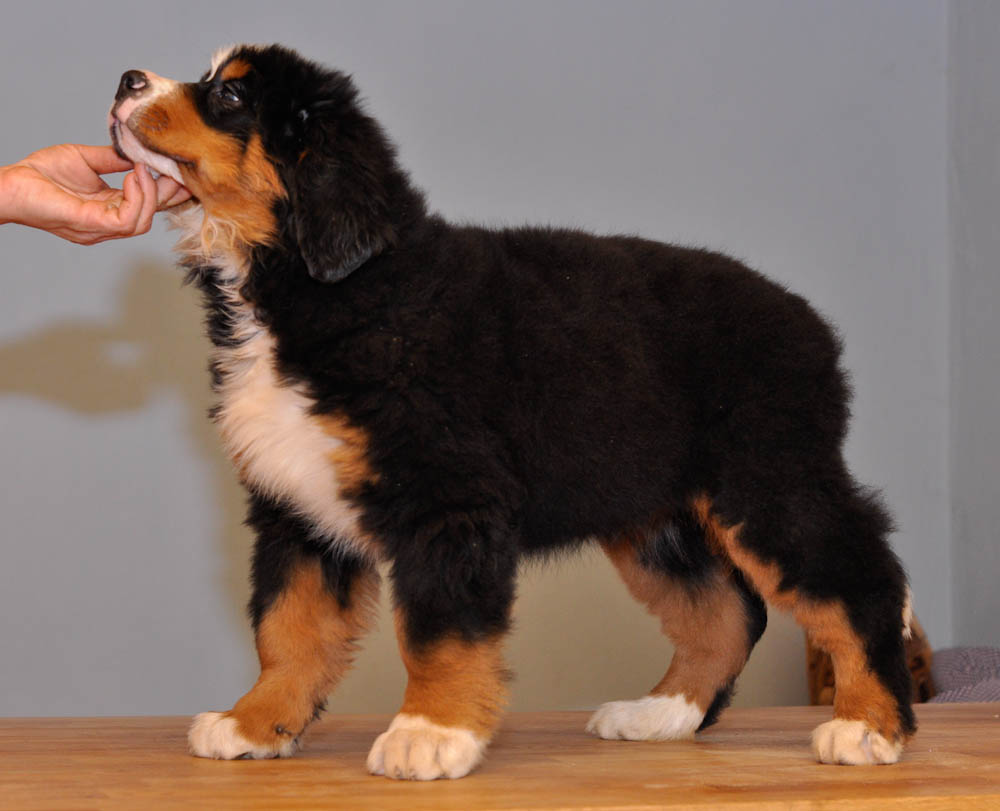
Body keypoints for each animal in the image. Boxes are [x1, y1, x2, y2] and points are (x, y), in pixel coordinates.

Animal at [109, 44, 915, 779]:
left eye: (231, 96)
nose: (126, 79)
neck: (318, 285)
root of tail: (807, 323)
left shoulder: (446, 499)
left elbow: (436, 631)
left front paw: (430, 734)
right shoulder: (295, 508)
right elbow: (289, 628)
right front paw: (255, 722)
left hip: (767, 477)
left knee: (859, 581)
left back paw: (869, 725)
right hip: (655, 512)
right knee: (727, 611)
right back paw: (661, 713)